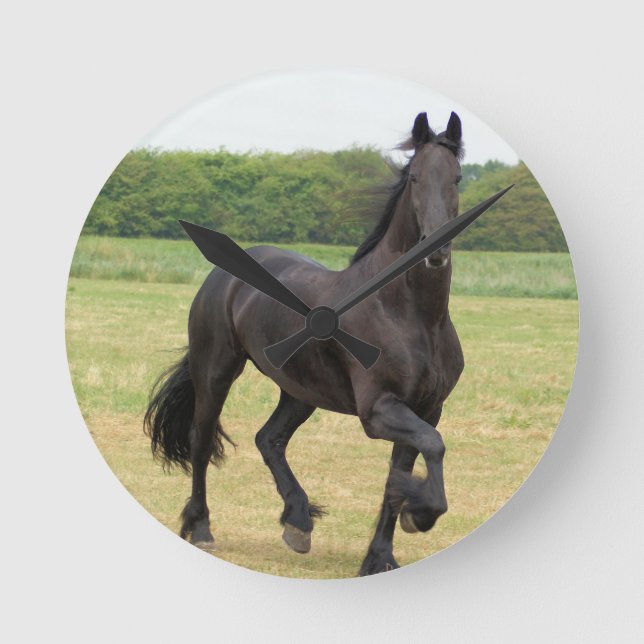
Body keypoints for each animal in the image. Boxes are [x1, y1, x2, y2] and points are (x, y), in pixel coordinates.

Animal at [144, 111, 465, 575]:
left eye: (457, 178)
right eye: (415, 178)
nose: (435, 250)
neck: (411, 314)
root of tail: (223, 273)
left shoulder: (427, 408)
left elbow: (400, 473)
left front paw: (380, 557)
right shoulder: (378, 410)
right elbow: (433, 446)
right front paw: (419, 515)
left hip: (300, 390)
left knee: (269, 439)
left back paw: (297, 522)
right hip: (216, 371)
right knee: (201, 441)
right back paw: (201, 527)